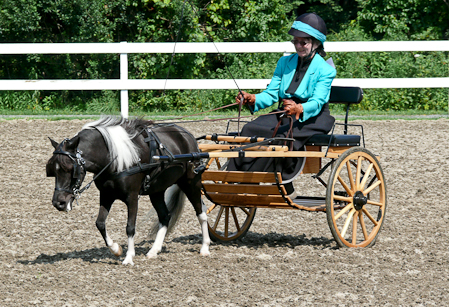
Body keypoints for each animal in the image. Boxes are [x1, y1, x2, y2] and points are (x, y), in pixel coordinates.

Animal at [46, 116, 211, 266]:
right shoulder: (106, 195)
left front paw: (129, 257)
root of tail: (187, 136)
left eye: (69, 168)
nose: (58, 203)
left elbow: (130, 227)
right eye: (52, 170)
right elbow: (100, 223)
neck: (113, 158)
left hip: (191, 183)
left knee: (201, 213)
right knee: (165, 216)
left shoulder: (132, 197)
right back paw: (154, 250)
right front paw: (116, 249)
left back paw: (205, 247)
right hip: (156, 190)